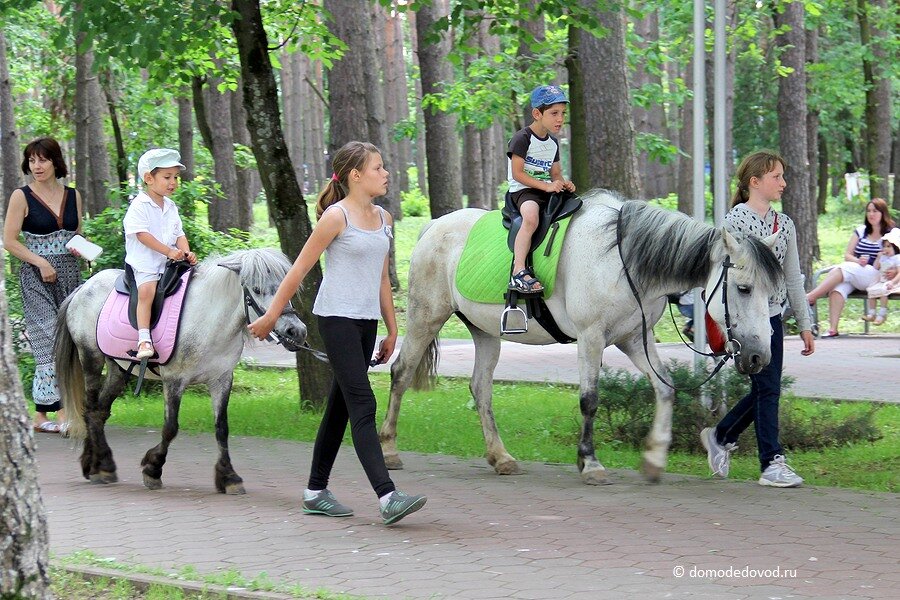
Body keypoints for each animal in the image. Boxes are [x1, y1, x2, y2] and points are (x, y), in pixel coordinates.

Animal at [57, 247, 310, 492]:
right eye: (256, 290)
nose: (295, 331)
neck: (209, 321)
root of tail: (82, 288)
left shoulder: (221, 380)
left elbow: (222, 428)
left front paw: (229, 476)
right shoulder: (174, 381)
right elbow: (171, 428)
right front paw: (152, 469)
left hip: (118, 369)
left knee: (99, 411)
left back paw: (96, 464)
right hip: (91, 358)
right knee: (90, 409)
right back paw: (101, 466)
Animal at [380, 190, 780, 486]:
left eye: (772, 291)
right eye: (744, 288)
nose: (759, 357)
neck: (621, 258)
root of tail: (432, 226)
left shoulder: (634, 339)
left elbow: (665, 389)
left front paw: (653, 457)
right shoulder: (591, 337)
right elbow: (590, 399)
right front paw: (590, 463)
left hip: (485, 331)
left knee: (480, 388)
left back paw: (501, 457)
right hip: (426, 316)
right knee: (401, 372)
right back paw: (389, 449)